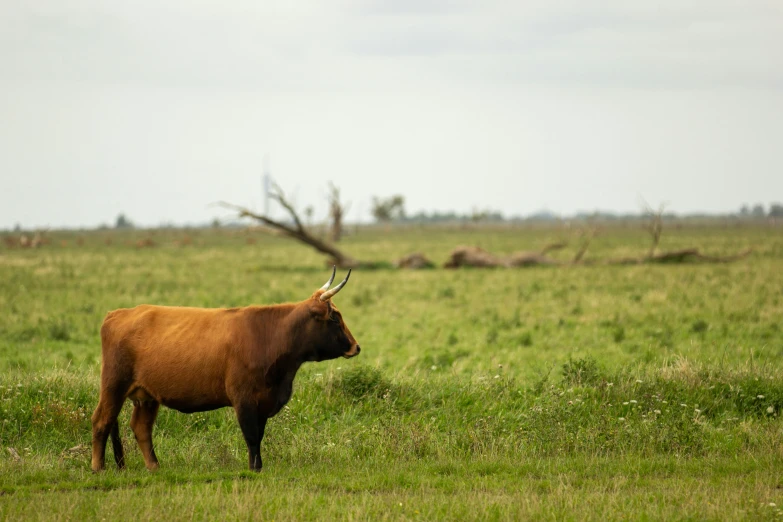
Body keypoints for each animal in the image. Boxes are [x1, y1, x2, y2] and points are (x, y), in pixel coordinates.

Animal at [90, 268, 360, 472]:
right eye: (334, 318)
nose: (355, 347)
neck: (270, 335)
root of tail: (118, 313)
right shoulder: (244, 399)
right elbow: (251, 436)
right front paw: (254, 469)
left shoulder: (263, 401)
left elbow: (259, 435)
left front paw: (258, 466)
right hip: (113, 385)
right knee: (102, 420)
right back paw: (98, 468)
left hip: (147, 396)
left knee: (141, 428)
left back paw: (155, 467)